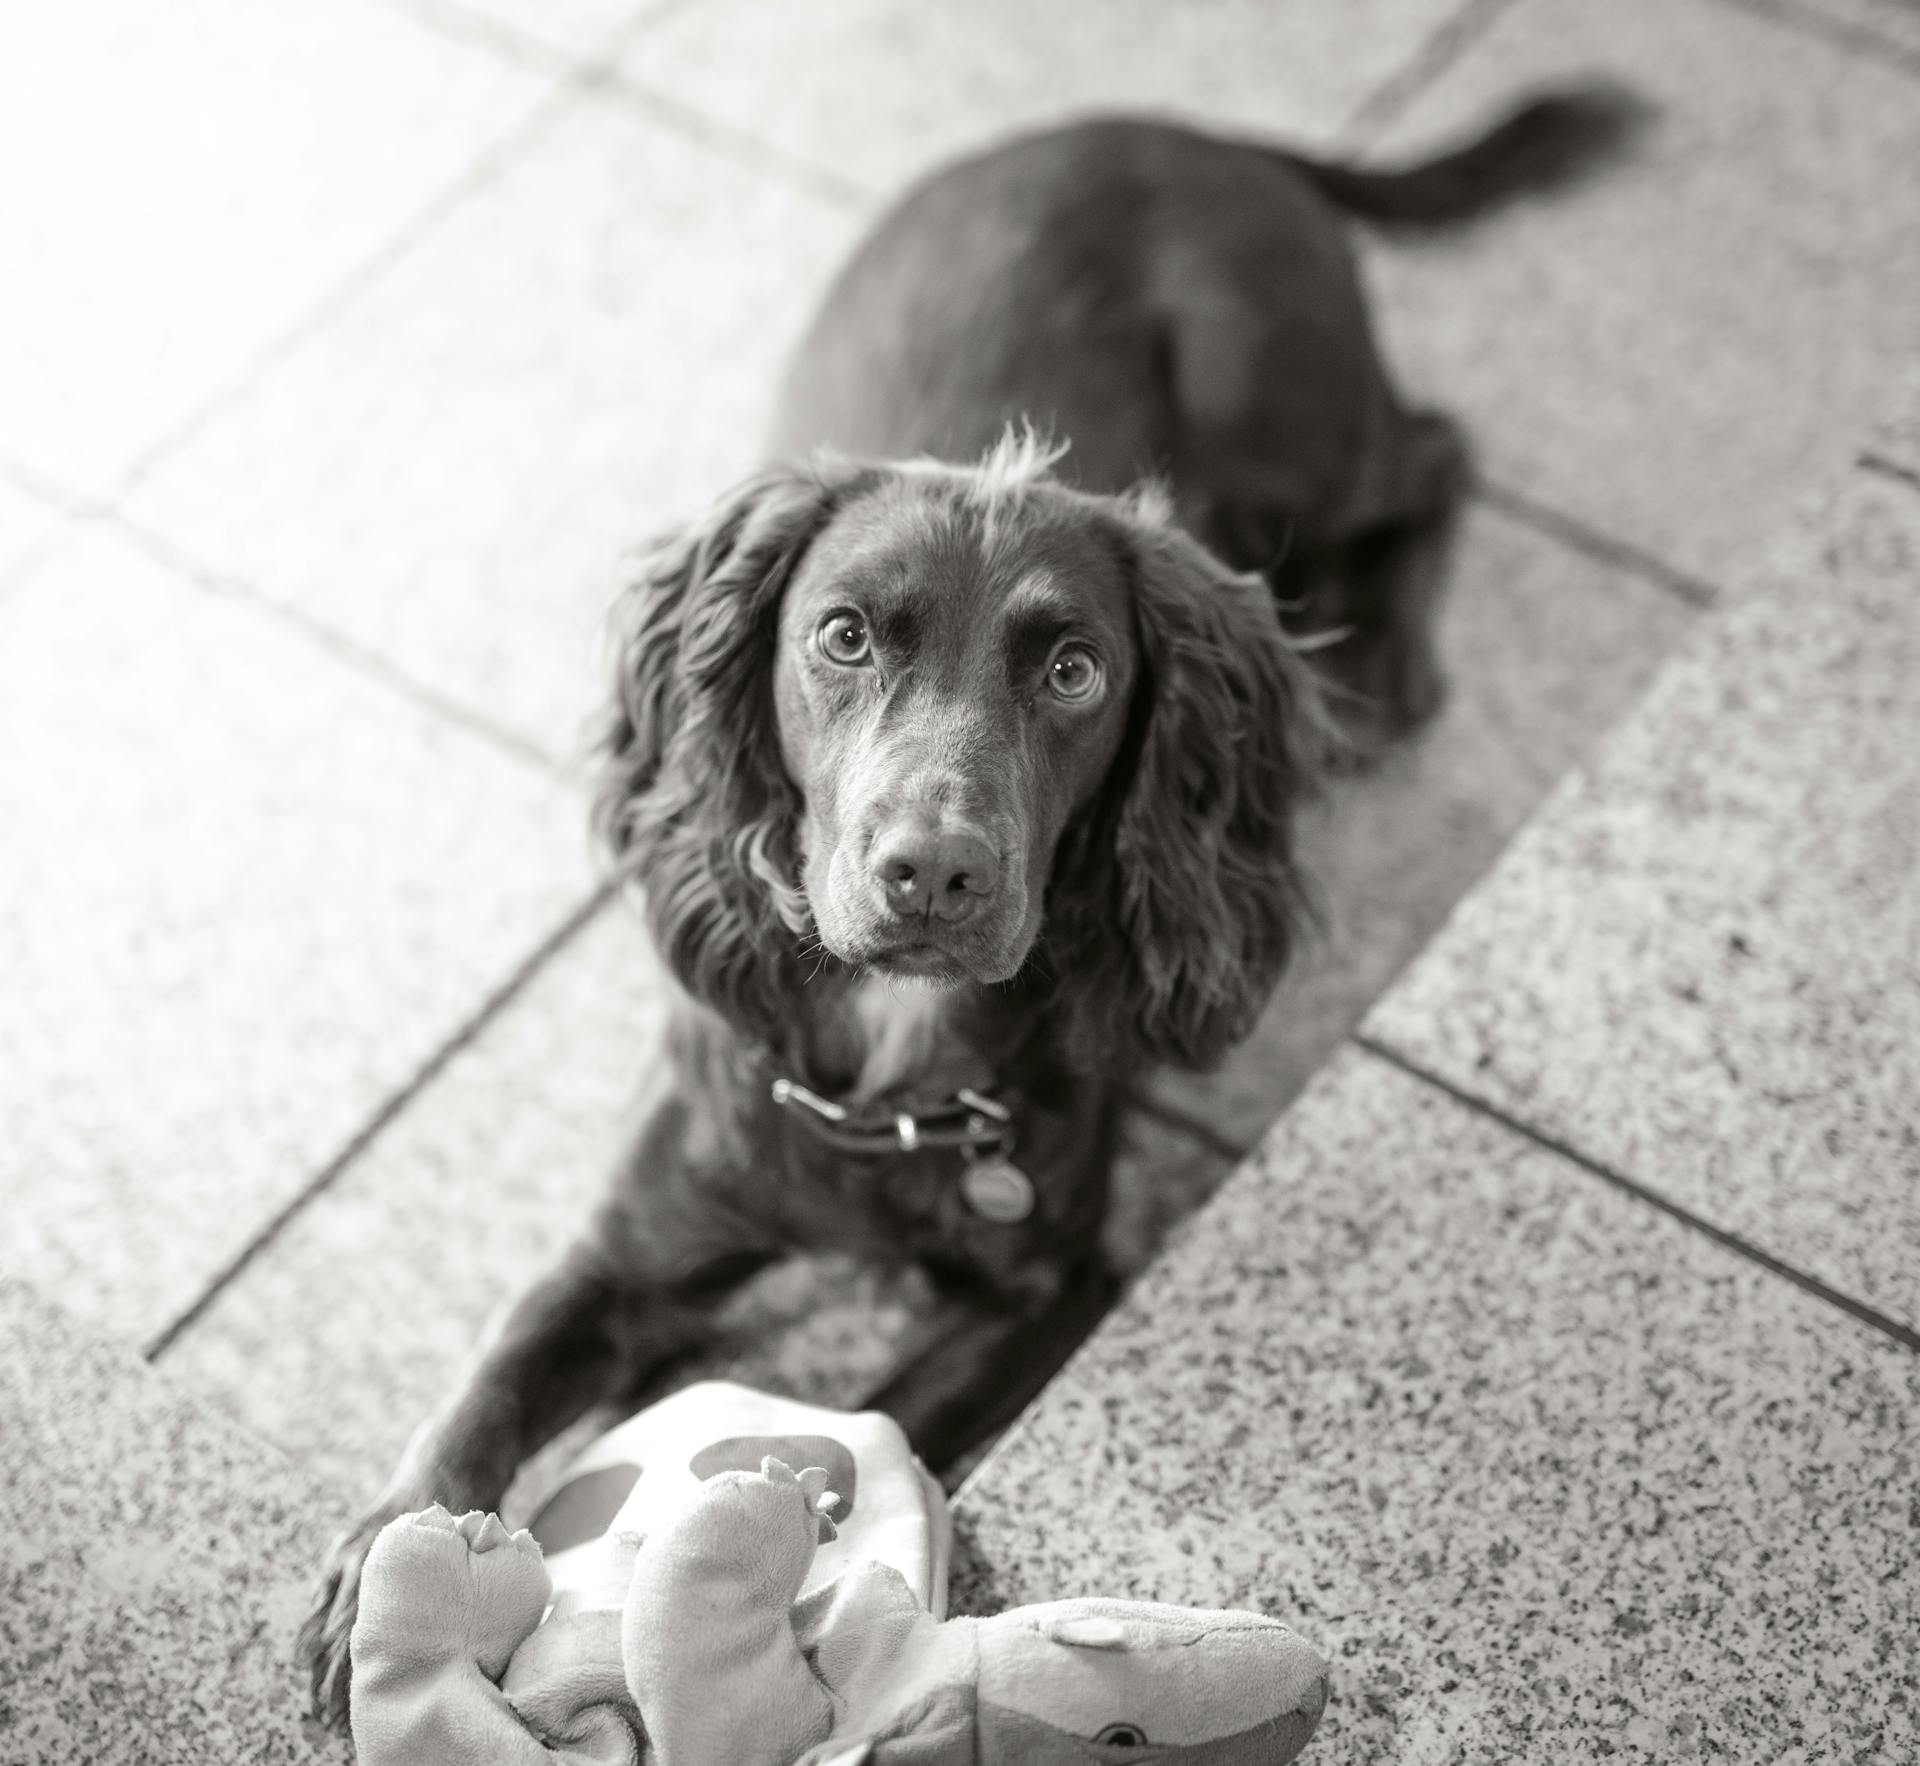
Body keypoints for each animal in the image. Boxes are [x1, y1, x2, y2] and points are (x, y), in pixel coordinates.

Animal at [307, 86, 1643, 1727]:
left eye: (1075, 671)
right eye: (840, 637)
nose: (935, 872)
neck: (881, 1081)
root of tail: (1176, 128)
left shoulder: (1051, 1279)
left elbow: (859, 1416)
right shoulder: (629, 1238)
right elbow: (493, 1369)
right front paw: (388, 1559)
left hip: (1286, 415)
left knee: (1440, 449)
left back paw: (1383, 651)